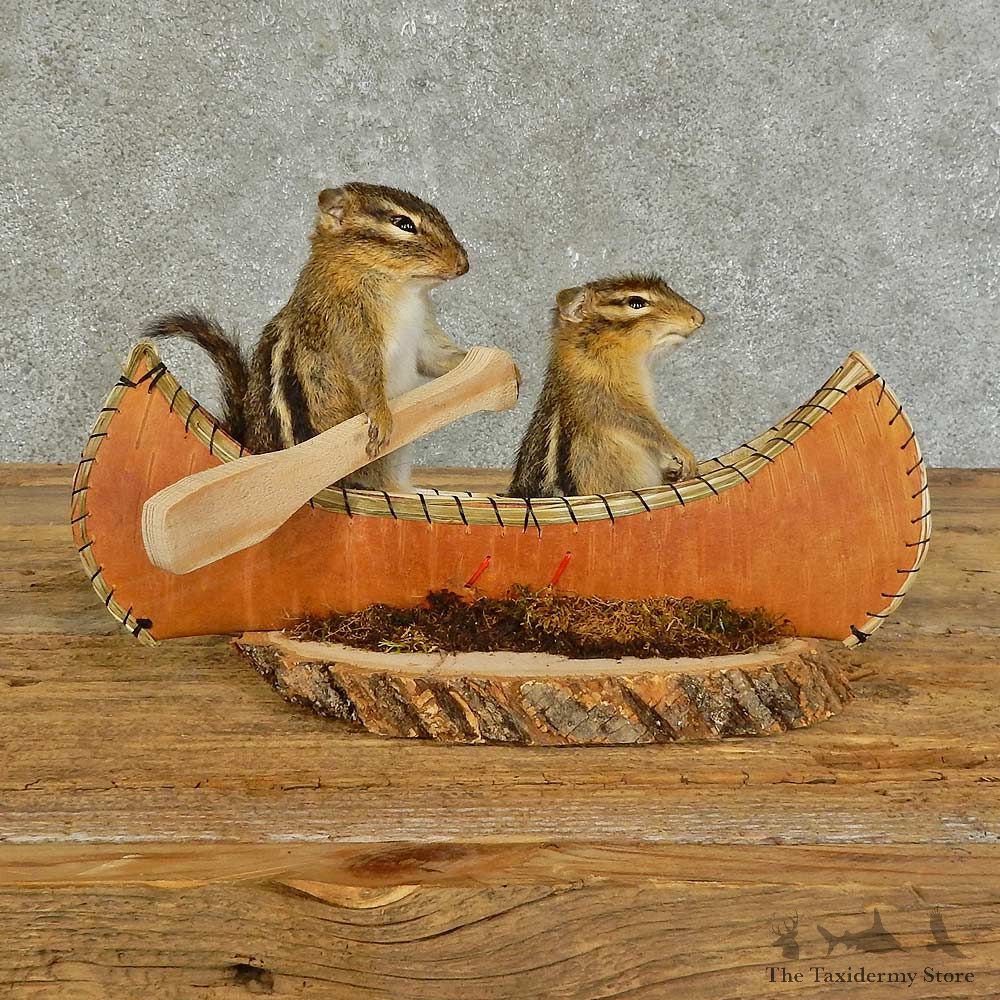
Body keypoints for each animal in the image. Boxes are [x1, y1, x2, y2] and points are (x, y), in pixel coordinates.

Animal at [145, 182, 470, 491]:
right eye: (403, 223)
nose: (463, 265)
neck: (402, 290)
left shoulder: (423, 331)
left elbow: (435, 358)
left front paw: (473, 359)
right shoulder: (350, 327)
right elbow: (365, 374)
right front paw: (379, 413)